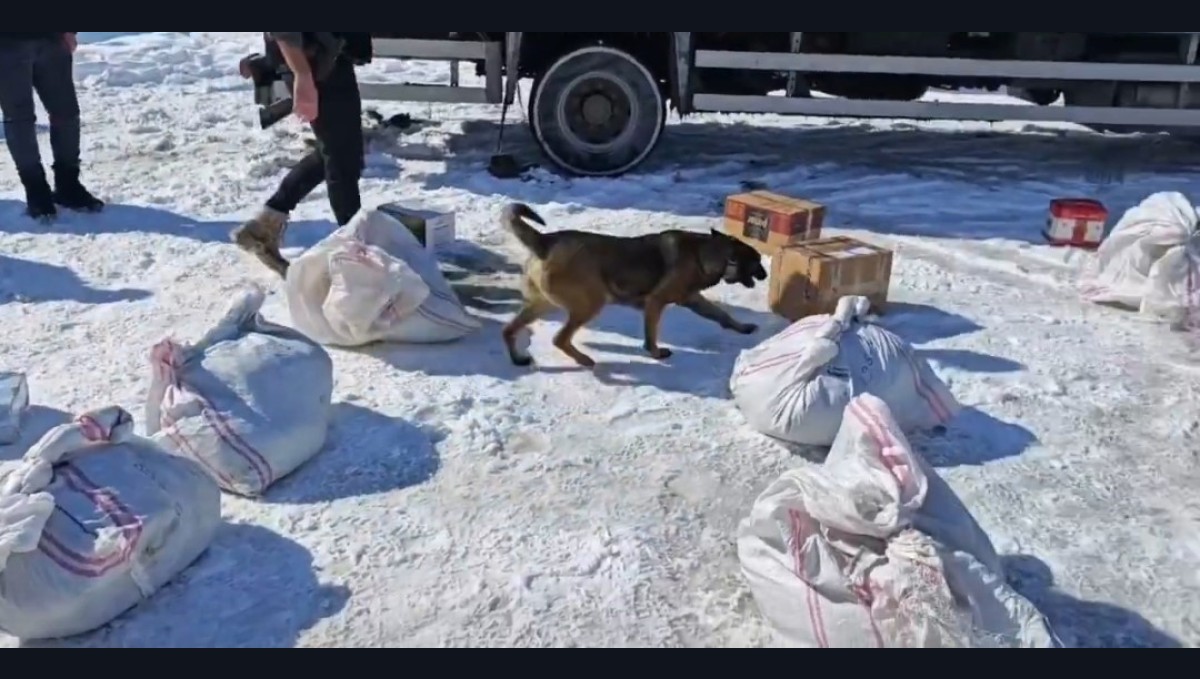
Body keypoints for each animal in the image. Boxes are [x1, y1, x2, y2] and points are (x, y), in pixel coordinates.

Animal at [499, 203, 768, 369]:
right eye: (756, 261)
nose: (766, 274)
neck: (708, 253)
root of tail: (544, 241)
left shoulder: (694, 299)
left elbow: (723, 315)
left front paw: (743, 327)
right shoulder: (656, 303)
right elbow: (651, 336)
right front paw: (656, 353)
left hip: (541, 304)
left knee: (508, 330)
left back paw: (517, 358)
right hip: (589, 304)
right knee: (559, 338)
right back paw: (584, 360)